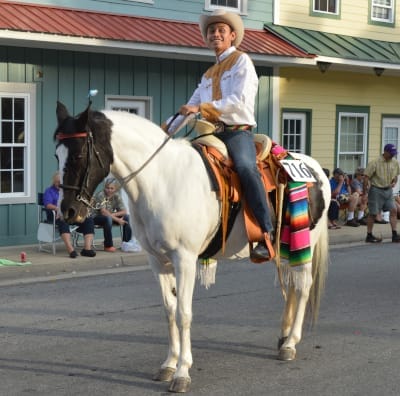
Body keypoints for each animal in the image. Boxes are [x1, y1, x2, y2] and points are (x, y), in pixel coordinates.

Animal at [54, 102, 328, 392]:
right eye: (57, 155)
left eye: (79, 154)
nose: (67, 211)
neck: (161, 180)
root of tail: (315, 168)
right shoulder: (157, 261)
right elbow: (169, 310)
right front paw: (168, 365)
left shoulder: (184, 259)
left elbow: (183, 314)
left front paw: (182, 372)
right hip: (286, 247)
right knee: (292, 286)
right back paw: (283, 337)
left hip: (303, 243)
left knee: (303, 286)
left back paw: (290, 343)